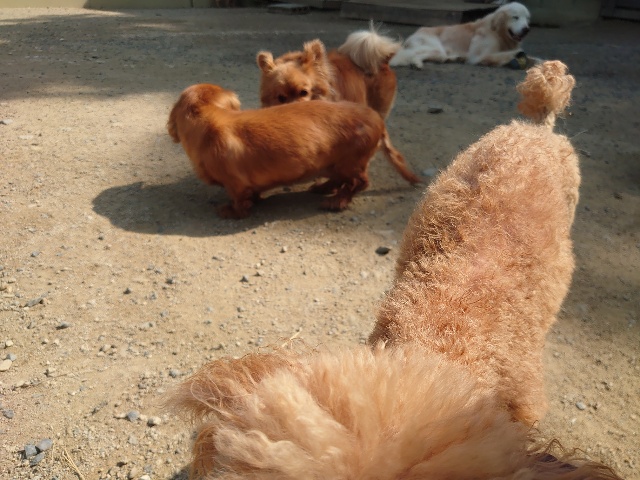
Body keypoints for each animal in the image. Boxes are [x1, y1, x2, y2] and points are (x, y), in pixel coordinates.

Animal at [167, 83, 419, 218]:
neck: (209, 122)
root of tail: (377, 118)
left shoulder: (235, 184)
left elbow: (239, 201)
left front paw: (231, 211)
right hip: (331, 165)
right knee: (341, 180)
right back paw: (322, 188)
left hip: (349, 163)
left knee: (359, 182)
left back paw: (336, 201)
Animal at [390, 2, 533, 69]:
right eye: (516, 17)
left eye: (527, 19)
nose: (526, 29)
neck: (498, 32)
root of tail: (416, 32)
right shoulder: (479, 57)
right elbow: (509, 53)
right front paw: (519, 54)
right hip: (436, 49)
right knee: (410, 55)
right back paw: (415, 63)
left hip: (438, 54)